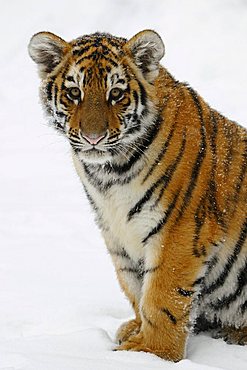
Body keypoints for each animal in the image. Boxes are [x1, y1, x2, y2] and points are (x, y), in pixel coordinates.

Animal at [28, 28, 246, 362]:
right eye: (74, 93)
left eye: (116, 94)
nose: (93, 138)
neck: (110, 174)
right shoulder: (116, 233)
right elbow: (134, 286)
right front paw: (136, 332)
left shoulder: (179, 232)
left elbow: (162, 296)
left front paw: (151, 352)